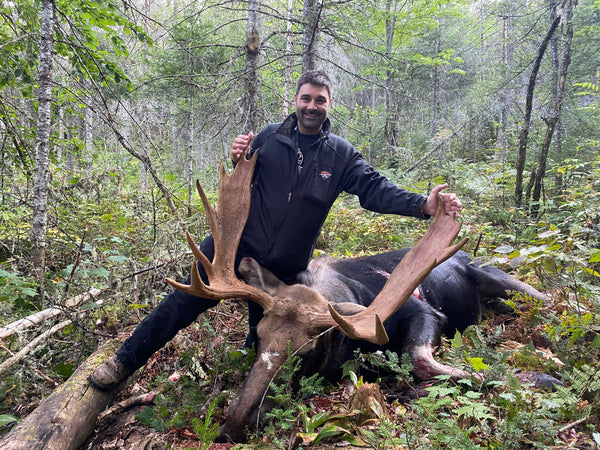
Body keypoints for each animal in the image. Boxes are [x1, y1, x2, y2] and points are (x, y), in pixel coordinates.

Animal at [166, 152, 552, 442]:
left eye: (305, 352)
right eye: (258, 336)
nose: (233, 423)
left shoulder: (427, 313)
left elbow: (420, 359)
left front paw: (536, 378)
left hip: (496, 276)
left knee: (542, 298)